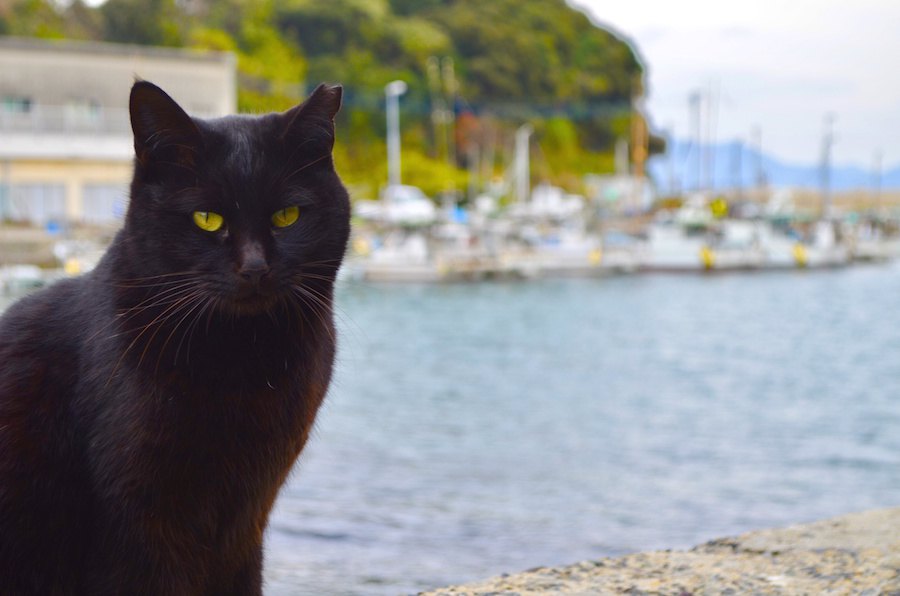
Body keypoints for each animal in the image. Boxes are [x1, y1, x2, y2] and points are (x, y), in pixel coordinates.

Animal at [0, 81, 350, 592]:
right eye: (207, 219)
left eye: (287, 215)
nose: (255, 267)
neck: (242, 360)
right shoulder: (139, 519)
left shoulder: (245, 520)